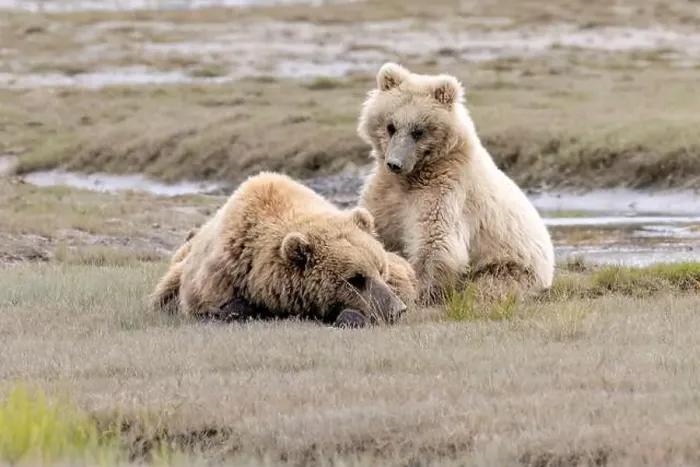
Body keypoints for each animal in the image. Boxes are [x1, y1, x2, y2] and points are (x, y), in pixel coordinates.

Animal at [356, 62, 555, 305]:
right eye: (390, 126)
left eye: (418, 131)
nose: (395, 163)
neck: (413, 175)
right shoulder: (386, 192)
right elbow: (376, 225)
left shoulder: (445, 190)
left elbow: (436, 241)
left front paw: (418, 290)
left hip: (511, 267)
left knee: (489, 286)